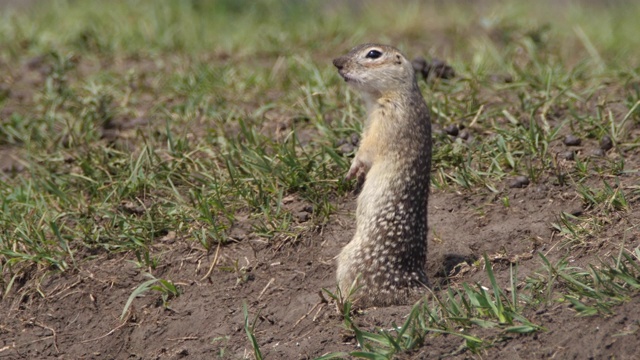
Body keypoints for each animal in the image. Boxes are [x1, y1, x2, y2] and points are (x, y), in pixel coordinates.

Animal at [332, 43, 432, 306]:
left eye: (373, 54)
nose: (336, 62)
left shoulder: (387, 121)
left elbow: (367, 150)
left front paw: (352, 169)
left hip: (349, 259)